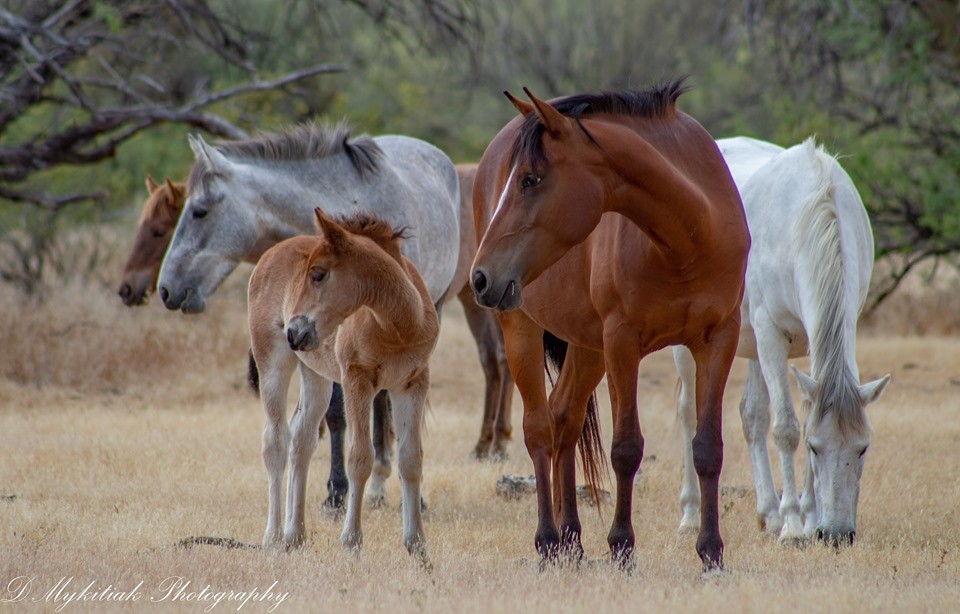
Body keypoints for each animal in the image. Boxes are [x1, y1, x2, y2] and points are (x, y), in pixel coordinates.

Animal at [248, 209, 438, 558]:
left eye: (318, 274)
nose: (294, 331)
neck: (398, 326)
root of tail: (270, 253)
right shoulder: (356, 380)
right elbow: (360, 457)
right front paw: (351, 542)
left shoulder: (413, 383)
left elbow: (411, 458)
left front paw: (417, 546)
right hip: (273, 363)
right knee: (276, 442)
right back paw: (273, 537)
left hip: (316, 374)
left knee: (302, 439)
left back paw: (295, 535)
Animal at [470, 80, 750, 571]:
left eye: (530, 179)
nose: (481, 277)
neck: (689, 235)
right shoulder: (623, 342)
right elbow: (626, 448)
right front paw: (622, 545)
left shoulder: (719, 340)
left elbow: (707, 448)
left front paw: (711, 551)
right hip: (522, 328)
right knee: (539, 429)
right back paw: (548, 540)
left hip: (587, 347)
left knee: (564, 418)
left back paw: (572, 540)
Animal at [675, 138, 890, 546]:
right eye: (815, 449)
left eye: (864, 448)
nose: (836, 534)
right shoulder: (770, 334)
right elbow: (787, 429)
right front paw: (793, 525)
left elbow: (793, 418)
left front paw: (806, 518)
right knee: (688, 415)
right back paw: (691, 515)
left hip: (752, 348)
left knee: (752, 416)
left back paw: (768, 514)